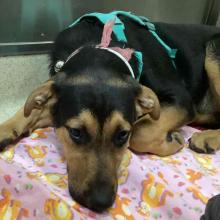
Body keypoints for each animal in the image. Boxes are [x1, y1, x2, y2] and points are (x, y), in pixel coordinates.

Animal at [0, 11, 220, 212]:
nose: (100, 203)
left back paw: (206, 138)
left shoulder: (182, 100)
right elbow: (31, 109)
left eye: (123, 134)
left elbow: (141, 132)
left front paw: (172, 141)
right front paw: (7, 128)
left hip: (213, 52)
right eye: (76, 133)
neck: (97, 46)